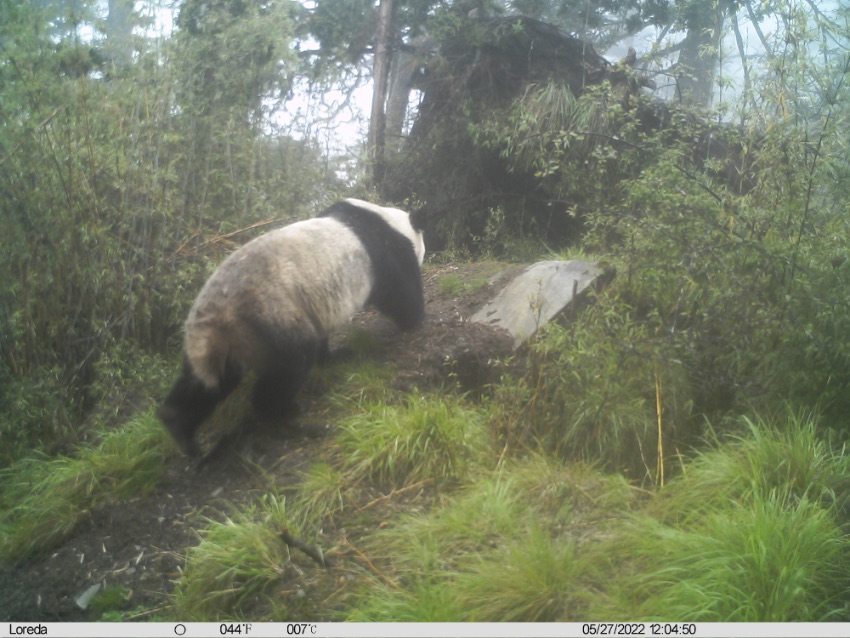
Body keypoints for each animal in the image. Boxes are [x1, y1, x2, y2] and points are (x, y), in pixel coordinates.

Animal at [158, 199, 424, 456]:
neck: (389, 218)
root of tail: (214, 318)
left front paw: (330, 358)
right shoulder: (383, 249)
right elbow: (400, 289)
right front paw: (415, 318)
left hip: (226, 343)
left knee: (207, 385)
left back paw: (181, 430)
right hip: (271, 315)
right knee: (291, 364)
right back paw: (287, 414)